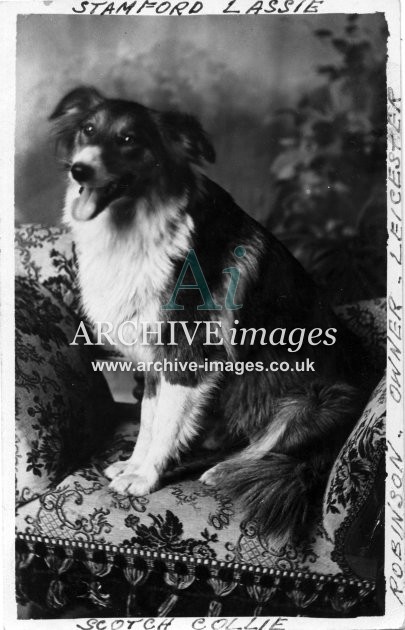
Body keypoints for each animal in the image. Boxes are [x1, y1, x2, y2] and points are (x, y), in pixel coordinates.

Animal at [49, 87, 372, 544]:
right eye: (88, 130)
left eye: (129, 140)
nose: (80, 169)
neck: (137, 225)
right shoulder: (155, 360)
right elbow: (148, 421)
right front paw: (132, 465)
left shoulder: (188, 357)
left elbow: (166, 424)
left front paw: (144, 478)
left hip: (316, 401)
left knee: (275, 455)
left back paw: (224, 473)